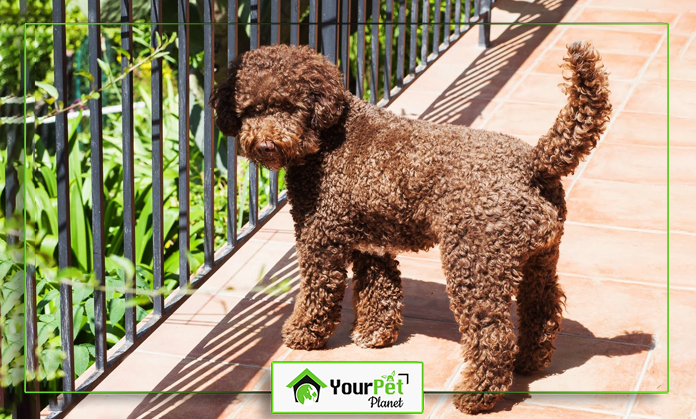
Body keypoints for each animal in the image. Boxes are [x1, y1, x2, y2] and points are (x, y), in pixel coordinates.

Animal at [211, 41, 608, 416]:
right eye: (250, 109)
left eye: (290, 107)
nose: (265, 144)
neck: (329, 137)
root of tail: (534, 162)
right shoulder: (371, 243)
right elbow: (378, 290)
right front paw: (374, 333)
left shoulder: (320, 239)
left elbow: (317, 293)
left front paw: (302, 334)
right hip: (539, 260)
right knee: (542, 309)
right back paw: (530, 361)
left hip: (475, 265)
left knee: (493, 336)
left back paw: (475, 394)